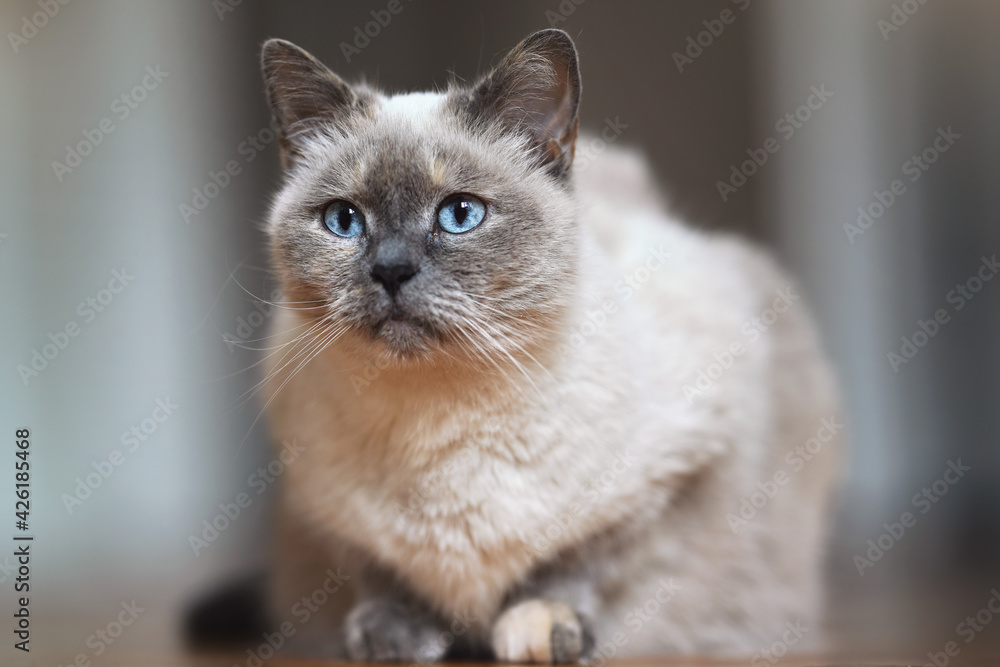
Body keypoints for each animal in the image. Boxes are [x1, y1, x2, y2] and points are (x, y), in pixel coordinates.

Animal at [254, 27, 840, 664]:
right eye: (343, 220)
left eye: (460, 214)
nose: (390, 270)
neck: (436, 426)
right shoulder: (325, 513)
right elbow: (381, 572)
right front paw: (392, 636)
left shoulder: (668, 479)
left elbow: (570, 565)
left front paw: (540, 628)